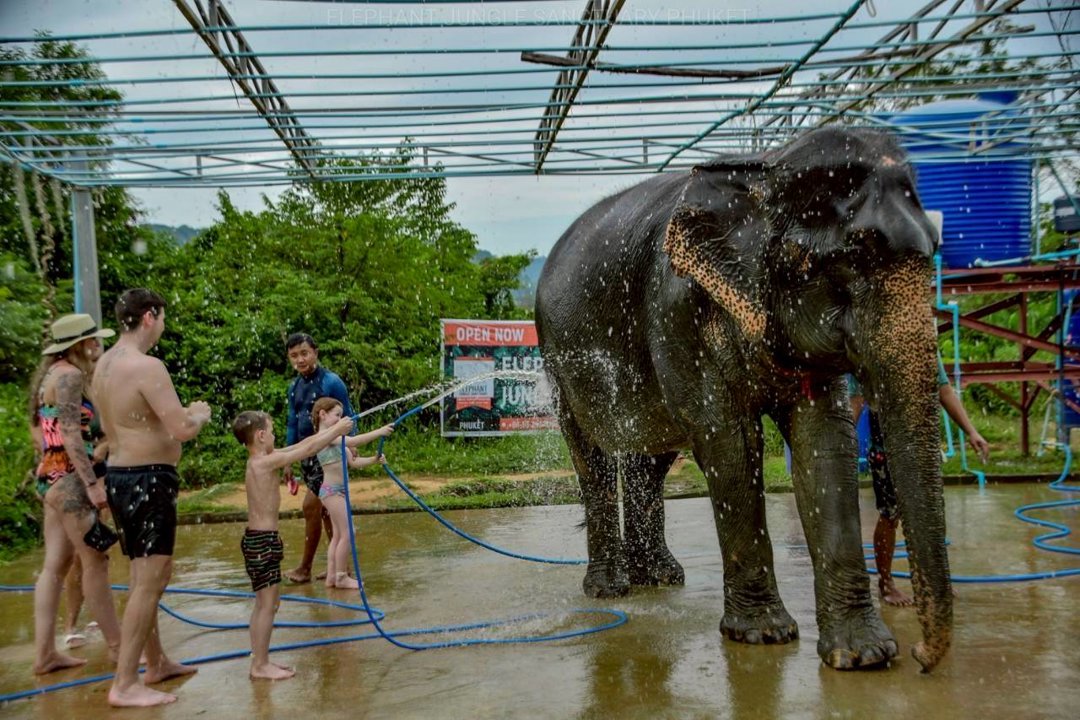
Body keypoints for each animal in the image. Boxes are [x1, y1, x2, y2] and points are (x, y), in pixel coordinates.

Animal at [534, 127, 951, 672]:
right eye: (852, 258)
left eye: (935, 250)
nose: (922, 656)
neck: (765, 167)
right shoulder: (677, 312)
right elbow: (729, 443)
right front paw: (762, 635)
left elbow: (824, 444)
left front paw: (863, 656)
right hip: (558, 358)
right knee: (594, 457)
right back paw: (610, 590)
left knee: (652, 458)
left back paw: (661, 579)